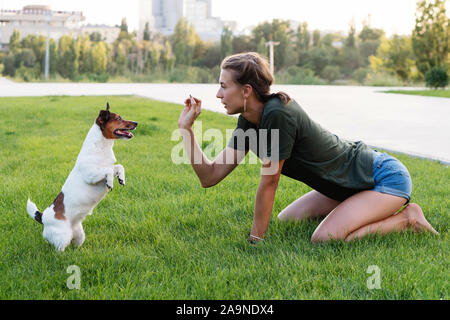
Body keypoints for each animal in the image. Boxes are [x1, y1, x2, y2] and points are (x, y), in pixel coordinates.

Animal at [26, 104, 137, 251]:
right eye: (119, 118)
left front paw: (121, 178)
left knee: (76, 244)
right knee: (58, 250)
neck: (100, 148)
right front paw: (110, 182)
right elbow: (108, 171)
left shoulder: (108, 167)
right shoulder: (91, 175)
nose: (136, 123)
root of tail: (43, 217)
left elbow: (118, 167)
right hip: (62, 237)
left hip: (79, 235)